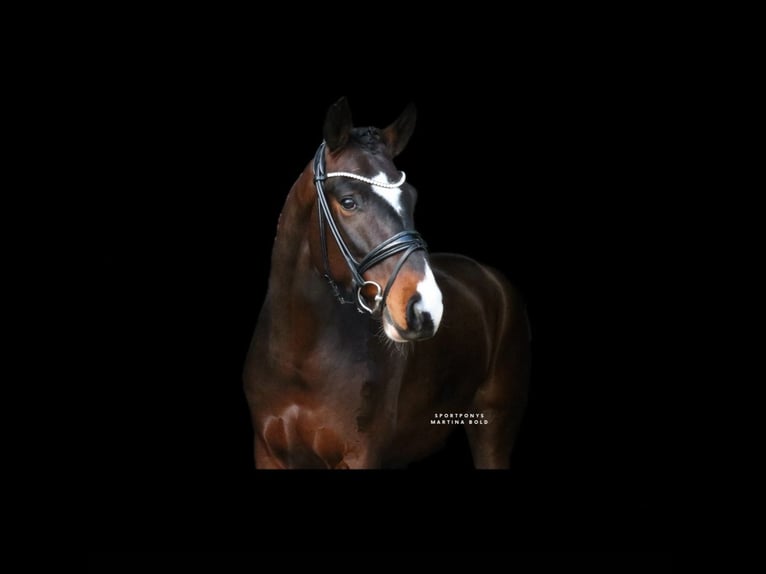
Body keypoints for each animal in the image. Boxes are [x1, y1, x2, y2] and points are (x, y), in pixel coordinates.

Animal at [243, 97, 530, 469]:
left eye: (411, 197)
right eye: (348, 201)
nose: (426, 308)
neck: (298, 360)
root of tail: (491, 278)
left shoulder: (361, 456)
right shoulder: (268, 452)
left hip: (493, 428)